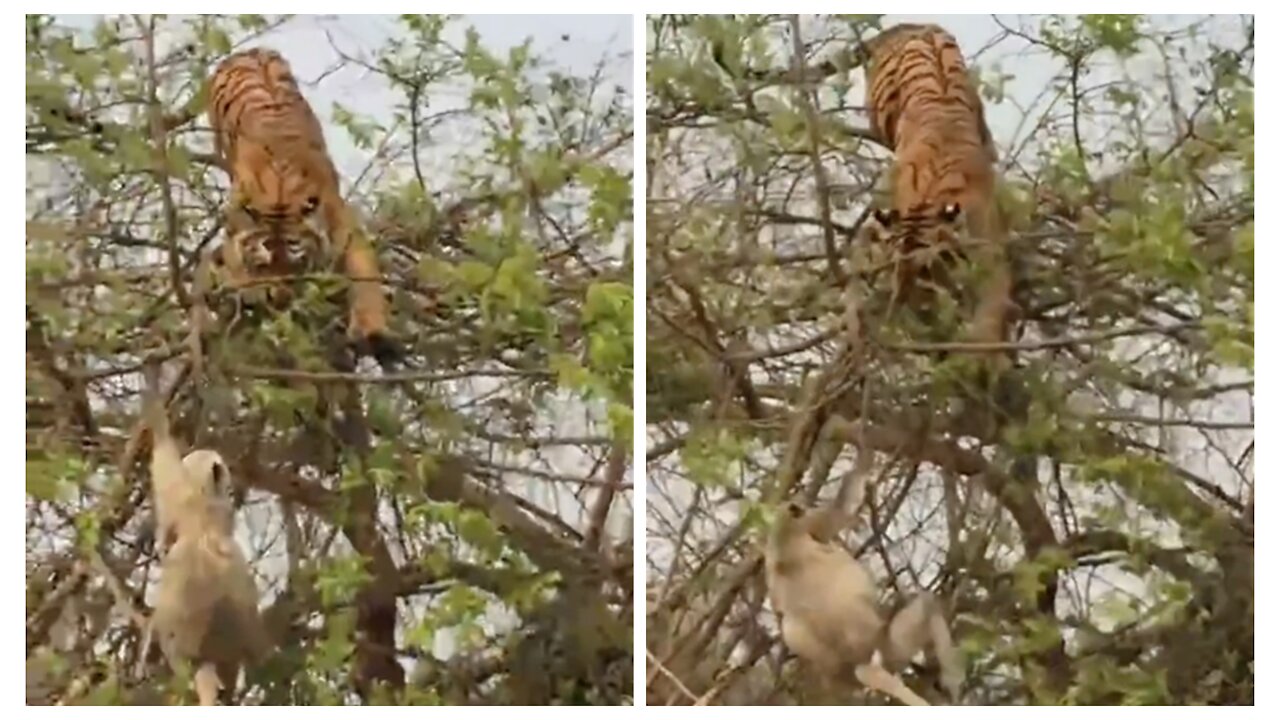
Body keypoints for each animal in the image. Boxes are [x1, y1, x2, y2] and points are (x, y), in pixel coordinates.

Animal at [207, 46, 396, 363]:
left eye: (296, 263)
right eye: (264, 264)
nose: (282, 298)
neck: (280, 193)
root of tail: (249, 51)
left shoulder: (342, 224)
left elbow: (364, 274)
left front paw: (373, 330)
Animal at [757, 461, 962, 702]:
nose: (801, 506)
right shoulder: (809, 525)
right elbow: (842, 509)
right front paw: (866, 469)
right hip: (891, 647)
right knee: (926, 605)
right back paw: (951, 685)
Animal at [860, 23, 1008, 353]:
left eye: (926, 270)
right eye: (895, 269)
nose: (903, 306)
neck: (928, 199)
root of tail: (916, 26)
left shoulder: (989, 249)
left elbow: (991, 313)